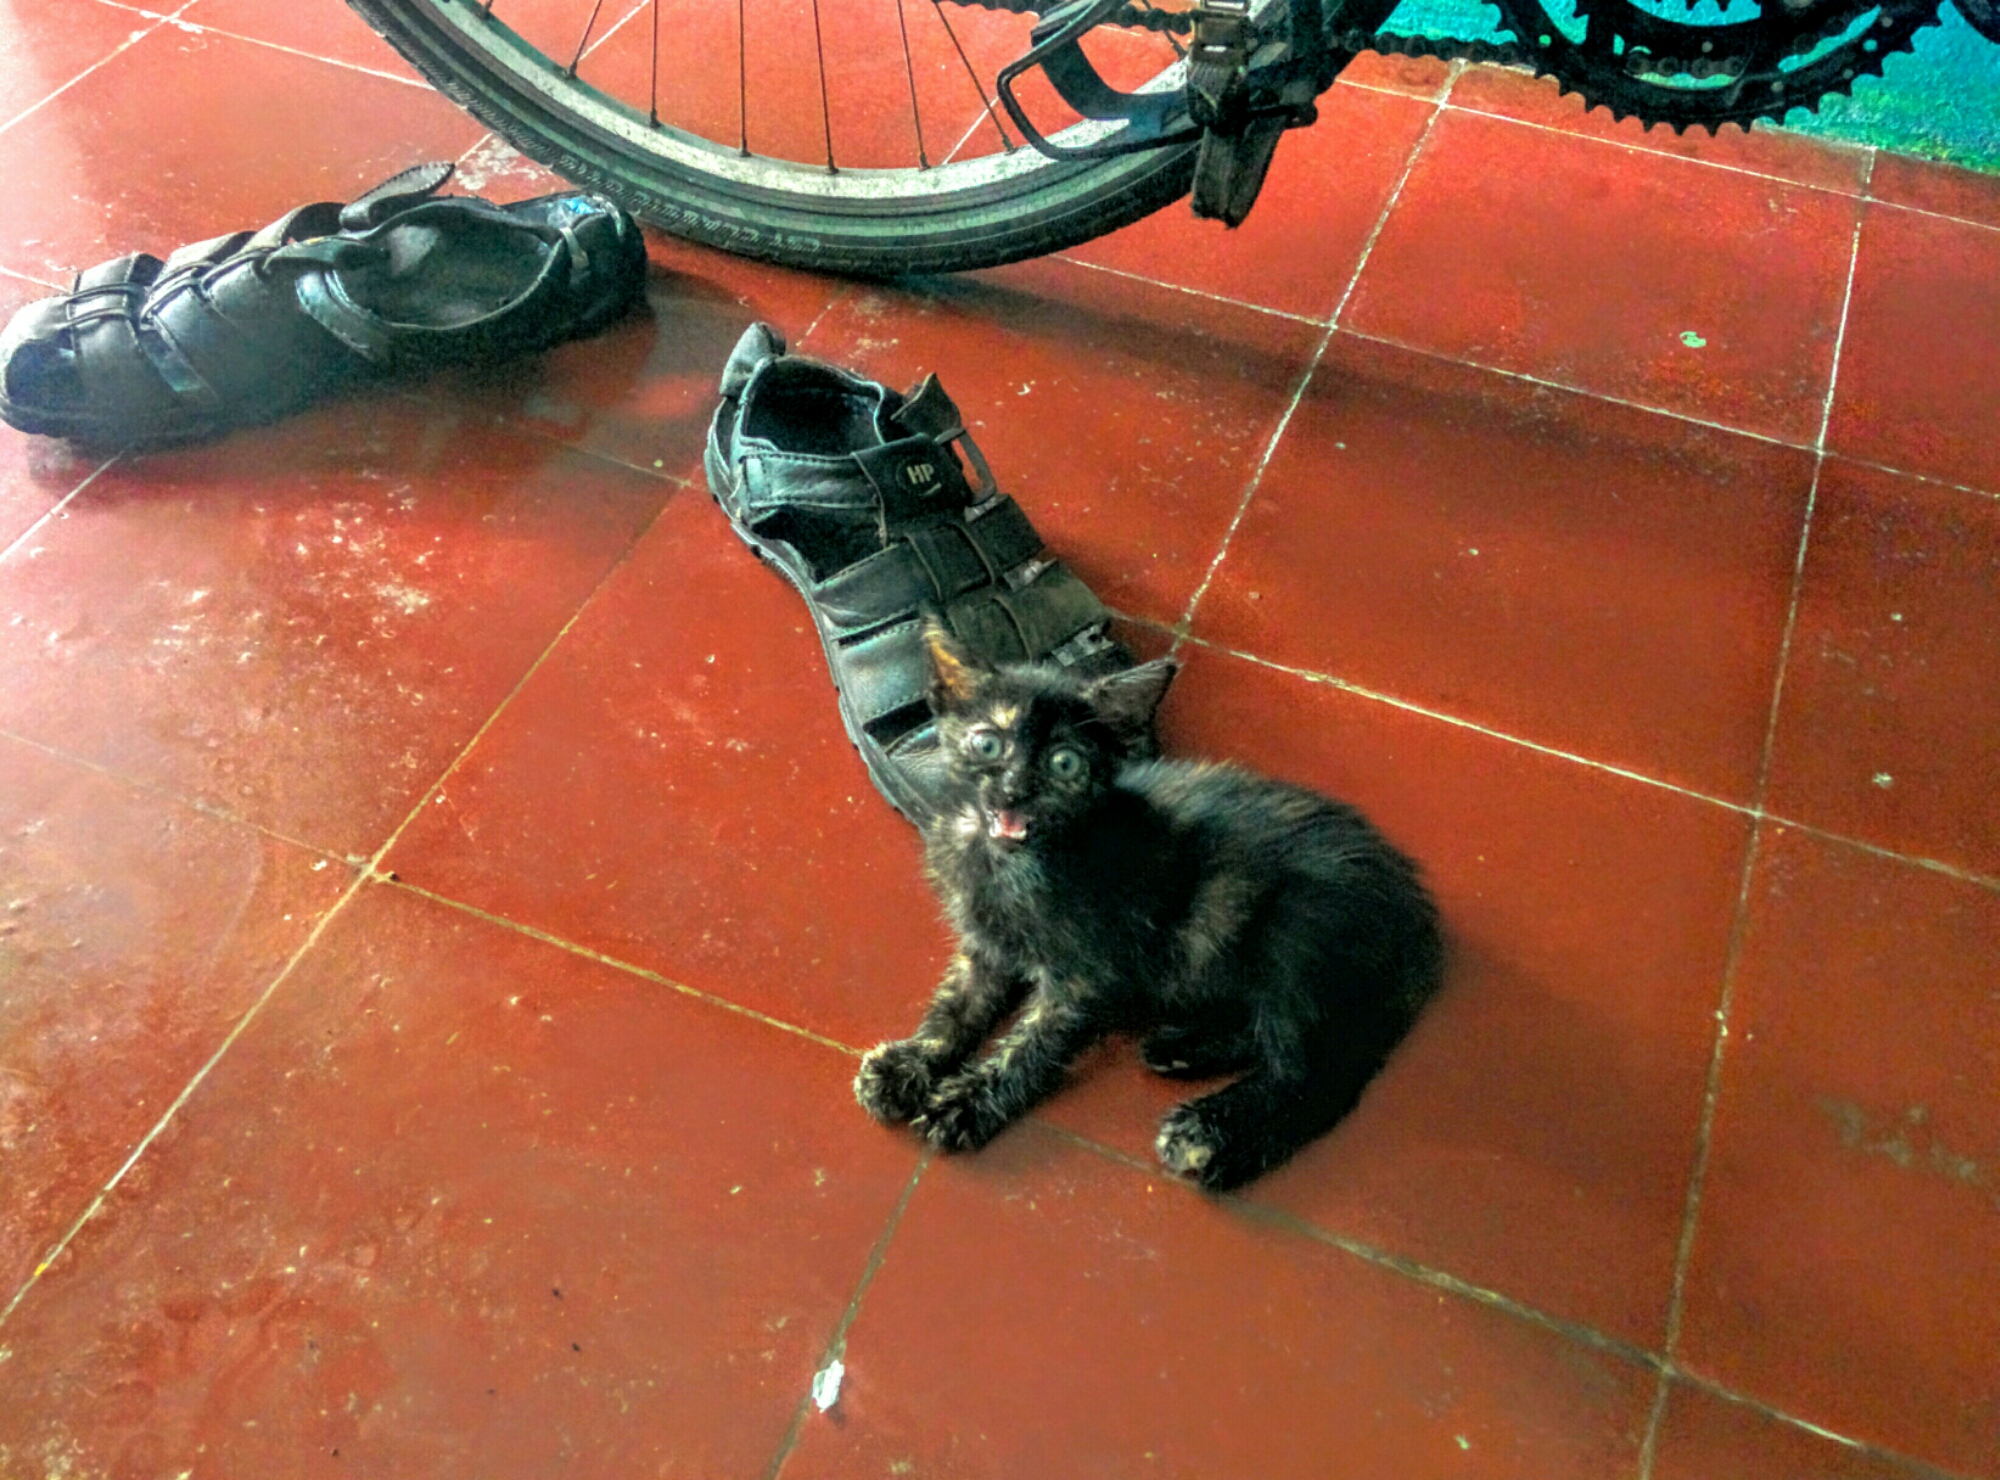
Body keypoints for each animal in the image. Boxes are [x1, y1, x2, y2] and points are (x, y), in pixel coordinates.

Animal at [852, 621, 1445, 1190]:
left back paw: (1212, 1135)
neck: (1012, 862)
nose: (1017, 789)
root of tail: (1420, 917)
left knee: (1315, 1075)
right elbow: (957, 1006)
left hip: (1294, 936)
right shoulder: (985, 946)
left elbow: (1031, 1045)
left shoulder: (1086, 976)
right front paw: (908, 1065)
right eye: (988, 744)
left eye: (1065, 763)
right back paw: (1180, 1047)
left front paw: (966, 1103)